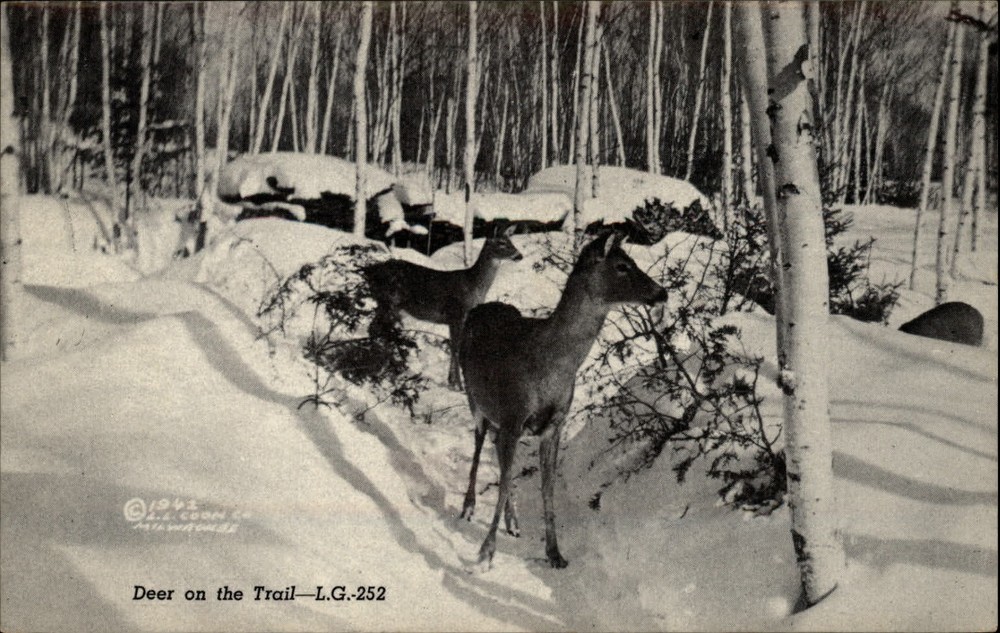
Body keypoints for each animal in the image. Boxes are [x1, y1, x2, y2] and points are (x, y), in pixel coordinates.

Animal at [363, 225, 523, 389]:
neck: (473, 285)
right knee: (375, 328)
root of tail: (370, 271)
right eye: (501, 242)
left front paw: (451, 381)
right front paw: (459, 385)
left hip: (392, 306)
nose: (519, 255)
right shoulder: (456, 313)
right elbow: (456, 348)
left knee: (379, 329)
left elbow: (454, 346)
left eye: (510, 241)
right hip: (388, 300)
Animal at [458, 232, 667, 570]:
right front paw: (486, 552)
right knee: (479, 445)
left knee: (497, 455)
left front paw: (555, 553)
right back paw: (468, 507)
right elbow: (504, 482)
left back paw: (513, 523)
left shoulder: (554, 424)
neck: (551, 365)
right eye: (622, 266)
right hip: (474, 398)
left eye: (632, 260)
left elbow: (547, 488)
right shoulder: (514, 414)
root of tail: (482, 307)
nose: (662, 292)